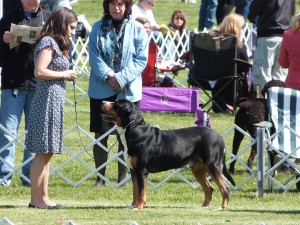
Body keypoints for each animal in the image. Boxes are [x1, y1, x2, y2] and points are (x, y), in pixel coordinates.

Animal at [102, 100, 236, 209]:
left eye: (116, 105)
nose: (102, 102)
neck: (134, 129)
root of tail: (219, 136)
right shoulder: (134, 171)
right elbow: (135, 191)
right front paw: (133, 206)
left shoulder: (141, 171)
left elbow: (141, 192)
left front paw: (139, 206)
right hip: (198, 170)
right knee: (209, 189)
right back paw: (204, 206)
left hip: (213, 166)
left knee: (224, 188)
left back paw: (223, 208)